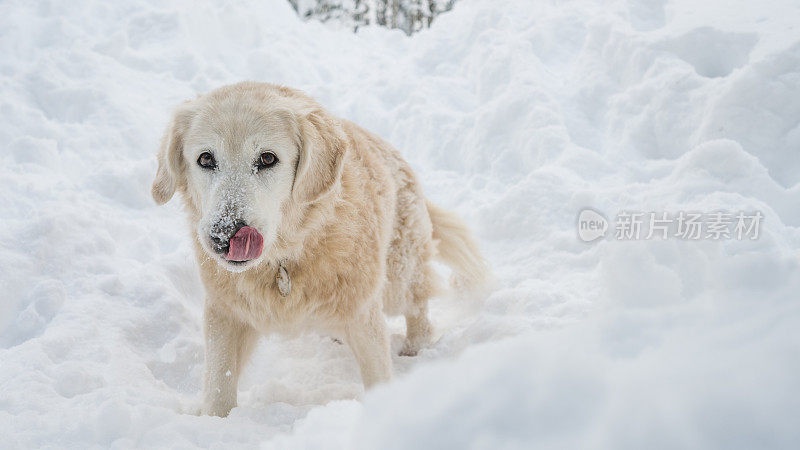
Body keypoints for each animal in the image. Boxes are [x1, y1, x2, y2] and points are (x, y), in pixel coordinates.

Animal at [152, 82, 488, 416]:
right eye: (206, 159)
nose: (224, 235)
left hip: (397, 277)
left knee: (417, 305)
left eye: (267, 159)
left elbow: (378, 373)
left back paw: (415, 348)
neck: (284, 259)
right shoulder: (226, 313)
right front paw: (214, 419)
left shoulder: (363, 312)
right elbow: (219, 384)